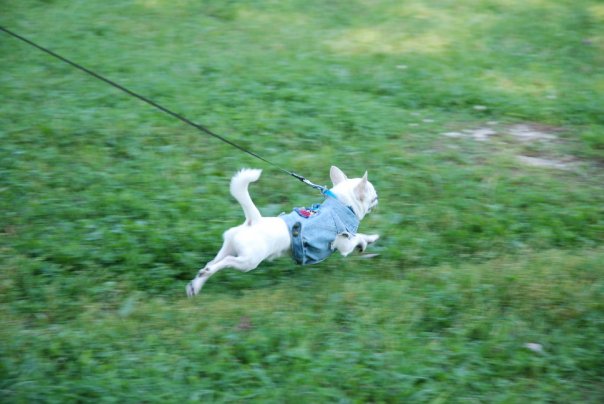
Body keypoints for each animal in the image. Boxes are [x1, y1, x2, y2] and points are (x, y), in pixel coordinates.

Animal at [186, 166, 379, 296]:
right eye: (373, 194)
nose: (378, 197)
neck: (341, 204)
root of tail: (254, 220)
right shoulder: (344, 244)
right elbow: (356, 237)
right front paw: (367, 240)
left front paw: (369, 239)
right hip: (248, 261)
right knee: (226, 262)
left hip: (229, 247)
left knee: (211, 262)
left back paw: (196, 284)